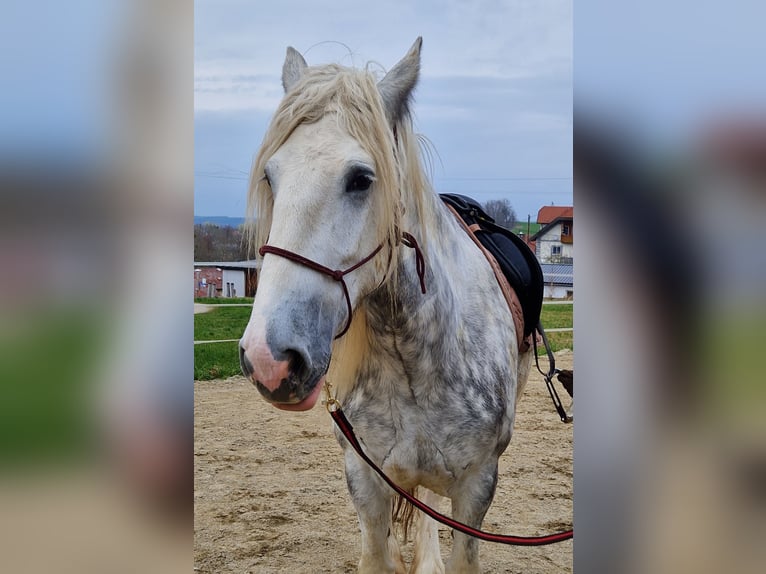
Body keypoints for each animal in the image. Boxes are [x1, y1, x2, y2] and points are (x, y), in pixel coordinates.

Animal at [240, 38, 536, 572]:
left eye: (361, 178)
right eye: (271, 177)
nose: (268, 360)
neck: (413, 355)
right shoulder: (365, 480)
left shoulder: (477, 487)